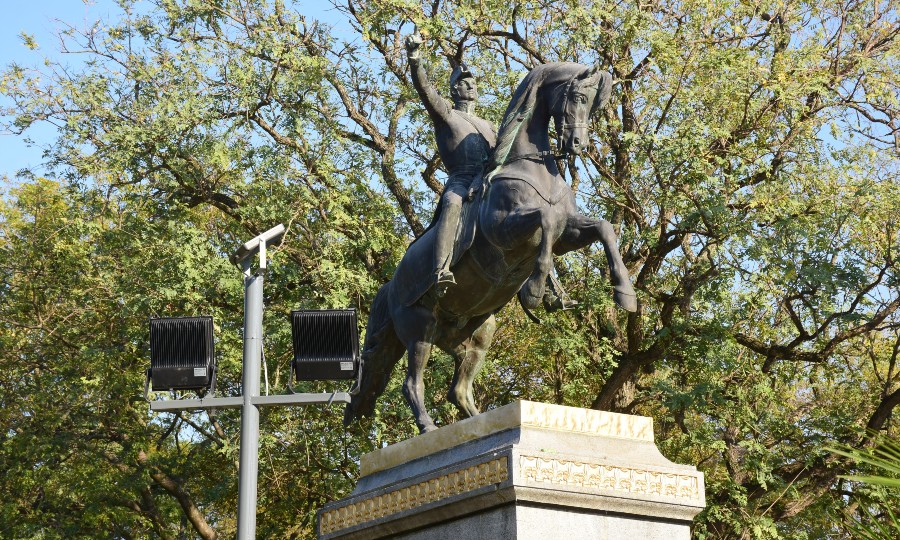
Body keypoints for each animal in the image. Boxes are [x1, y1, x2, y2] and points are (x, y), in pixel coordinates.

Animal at [342, 62, 632, 434]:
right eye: (579, 97)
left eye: (595, 104)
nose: (578, 145)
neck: (533, 167)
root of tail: (390, 287)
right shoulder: (504, 230)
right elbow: (546, 221)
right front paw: (535, 291)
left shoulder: (570, 233)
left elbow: (602, 228)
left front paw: (624, 294)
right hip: (419, 327)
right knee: (412, 383)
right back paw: (429, 426)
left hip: (477, 334)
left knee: (458, 390)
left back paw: (479, 422)